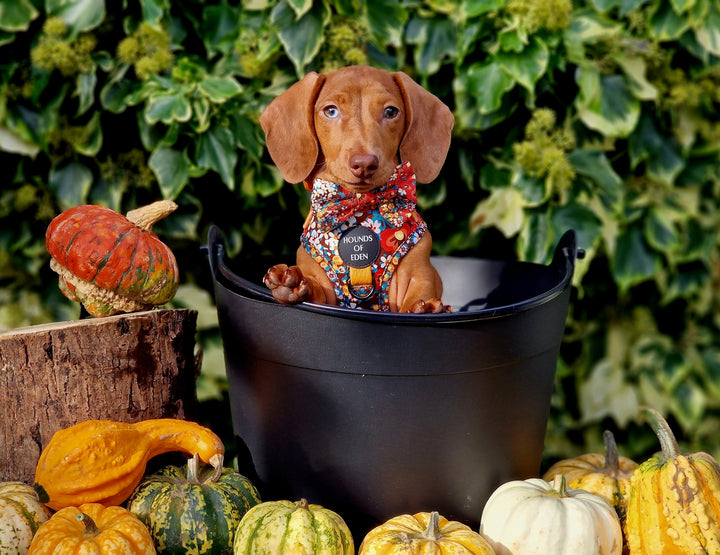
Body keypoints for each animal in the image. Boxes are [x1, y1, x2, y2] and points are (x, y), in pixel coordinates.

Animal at [258, 65, 452, 312]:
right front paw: (292, 284)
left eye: (391, 111)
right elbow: (314, 288)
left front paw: (426, 307)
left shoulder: (420, 275)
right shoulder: (324, 285)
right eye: (331, 111)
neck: (359, 206)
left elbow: (418, 294)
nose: (364, 164)